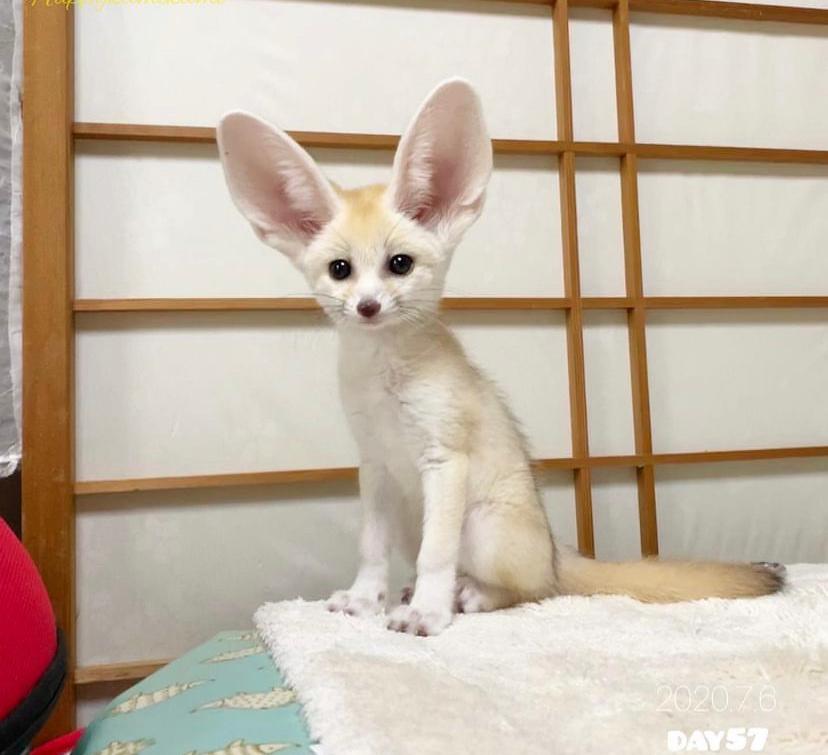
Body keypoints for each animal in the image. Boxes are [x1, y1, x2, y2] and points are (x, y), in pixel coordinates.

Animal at [217, 78, 784, 637]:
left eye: (400, 264)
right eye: (340, 270)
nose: (368, 306)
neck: (384, 376)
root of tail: (557, 550)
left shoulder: (445, 459)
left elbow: (436, 555)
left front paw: (427, 613)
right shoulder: (374, 466)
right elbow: (371, 549)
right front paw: (363, 599)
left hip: (483, 527)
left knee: (534, 589)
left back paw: (469, 594)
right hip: (413, 517)